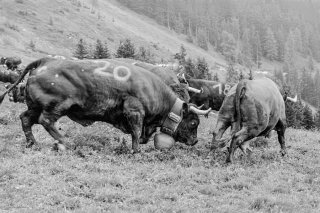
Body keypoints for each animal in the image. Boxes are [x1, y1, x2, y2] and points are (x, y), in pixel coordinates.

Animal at [0, 57, 212, 152]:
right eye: (194, 122)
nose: (195, 141)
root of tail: (45, 61)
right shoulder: (135, 112)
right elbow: (137, 133)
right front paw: (135, 151)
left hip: (33, 107)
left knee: (25, 119)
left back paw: (32, 142)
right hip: (56, 107)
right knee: (46, 121)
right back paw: (64, 142)